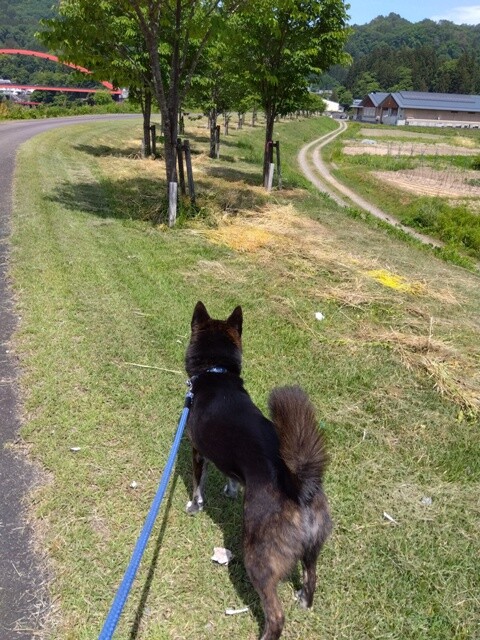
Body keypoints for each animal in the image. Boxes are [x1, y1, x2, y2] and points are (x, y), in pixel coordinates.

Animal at [185, 301, 332, 640]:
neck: (217, 373)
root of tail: (300, 490)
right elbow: (230, 475)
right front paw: (231, 489)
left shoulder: (198, 450)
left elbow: (198, 483)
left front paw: (195, 506)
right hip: (313, 547)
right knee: (312, 575)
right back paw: (304, 600)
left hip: (259, 558)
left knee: (275, 614)